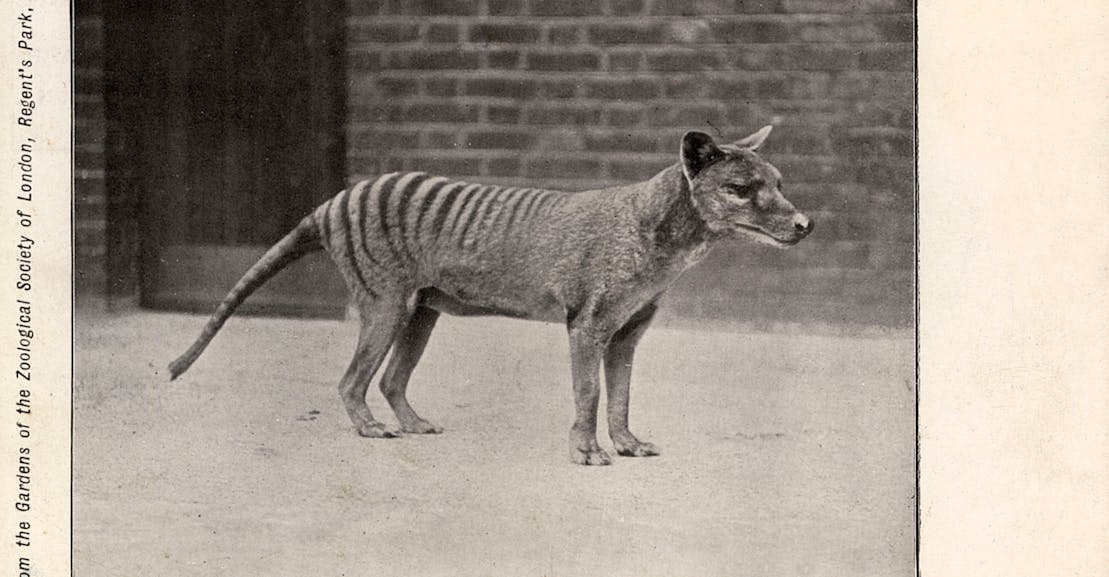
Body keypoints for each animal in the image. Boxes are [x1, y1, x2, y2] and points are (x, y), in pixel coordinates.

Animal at [168, 127, 814, 465]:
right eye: (740, 189)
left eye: (780, 183)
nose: (805, 224)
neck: (650, 228)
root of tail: (331, 203)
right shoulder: (587, 325)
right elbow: (588, 392)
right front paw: (586, 450)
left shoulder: (627, 332)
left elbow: (622, 394)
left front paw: (627, 442)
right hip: (384, 304)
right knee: (352, 380)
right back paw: (371, 428)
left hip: (421, 309)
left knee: (391, 379)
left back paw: (411, 422)